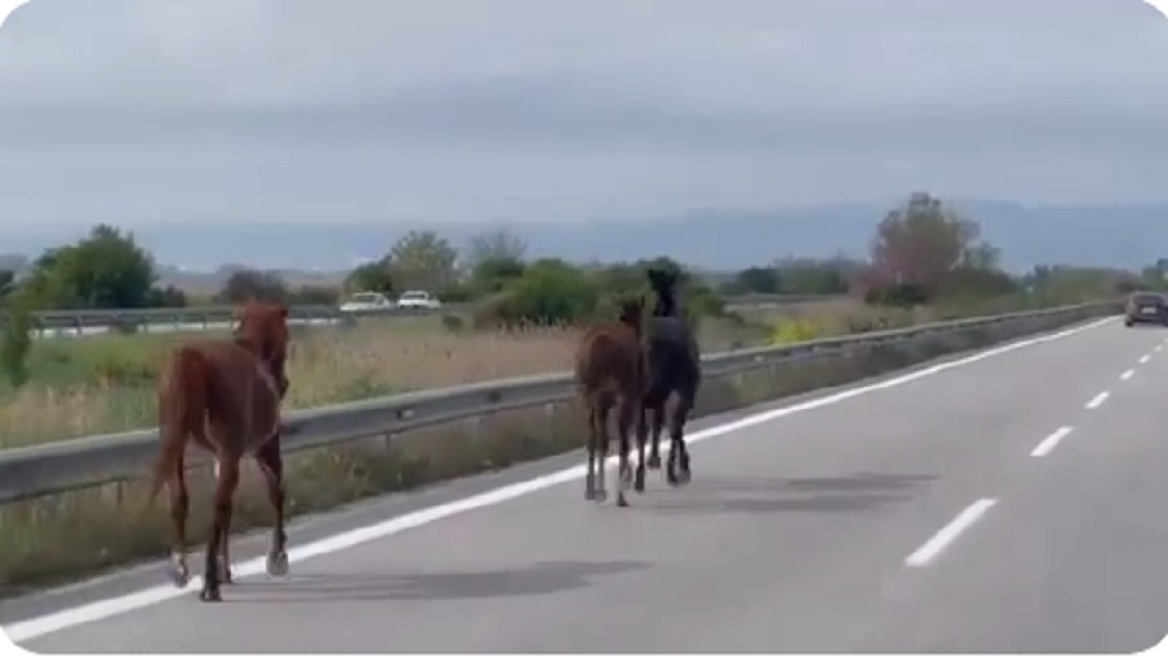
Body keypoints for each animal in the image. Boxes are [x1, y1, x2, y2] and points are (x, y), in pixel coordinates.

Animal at [145, 298, 292, 602]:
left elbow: (230, 506)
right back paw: (210, 583)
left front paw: (227, 569)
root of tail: (191, 357)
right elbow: (276, 493)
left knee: (182, 500)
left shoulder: (223, 457)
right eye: (287, 336)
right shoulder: (264, 449)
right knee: (217, 506)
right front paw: (277, 557)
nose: (283, 384)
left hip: (177, 447)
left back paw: (182, 569)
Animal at [574, 296, 649, 506]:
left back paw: (592, 490)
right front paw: (635, 479)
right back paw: (616, 493)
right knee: (614, 438)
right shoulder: (635, 394)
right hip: (612, 394)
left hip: (590, 397)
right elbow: (635, 433)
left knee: (593, 438)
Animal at [635, 267, 696, 490]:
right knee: (675, 425)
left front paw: (653, 459)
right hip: (681, 390)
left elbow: (655, 424)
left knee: (656, 426)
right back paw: (678, 470)